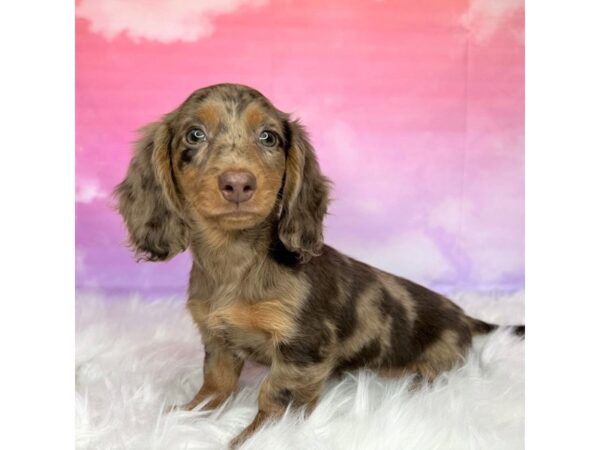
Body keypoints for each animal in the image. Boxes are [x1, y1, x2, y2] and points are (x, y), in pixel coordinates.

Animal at [113, 83, 524, 446]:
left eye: (268, 138)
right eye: (195, 135)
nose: (238, 183)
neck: (235, 260)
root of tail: (463, 315)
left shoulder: (303, 347)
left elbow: (275, 395)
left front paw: (252, 438)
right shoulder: (218, 339)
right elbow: (217, 383)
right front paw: (185, 417)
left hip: (439, 358)